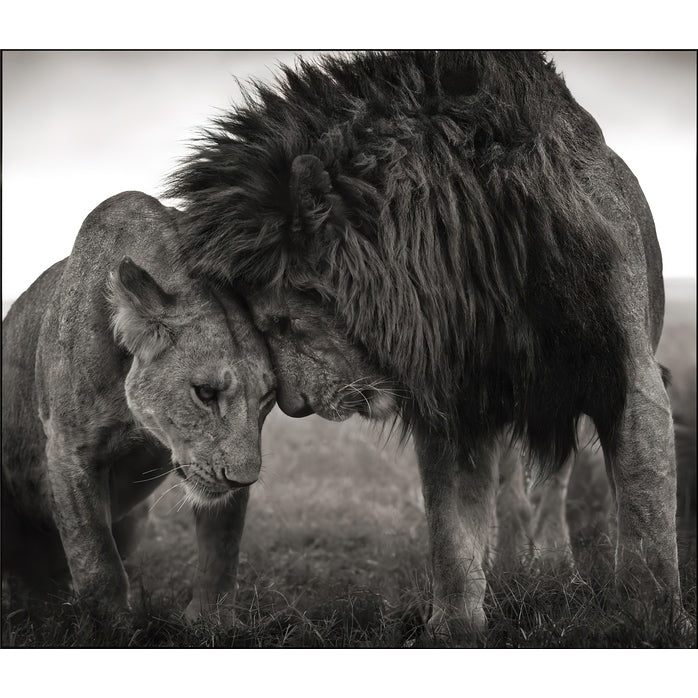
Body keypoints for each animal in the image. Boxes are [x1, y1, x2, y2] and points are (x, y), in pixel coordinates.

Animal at [1, 191, 275, 620]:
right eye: (205, 393)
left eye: (266, 398)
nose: (243, 480)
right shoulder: (68, 449)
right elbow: (96, 560)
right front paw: (110, 625)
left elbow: (222, 549)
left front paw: (210, 622)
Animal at [166, 51, 684, 638]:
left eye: (279, 322)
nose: (295, 407)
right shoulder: (453, 399)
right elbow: (451, 528)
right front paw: (456, 626)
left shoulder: (627, 375)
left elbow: (645, 515)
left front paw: (651, 623)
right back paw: (511, 567)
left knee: (552, 482)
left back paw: (555, 569)